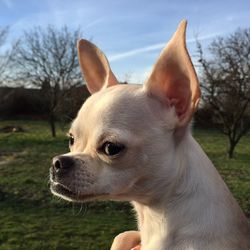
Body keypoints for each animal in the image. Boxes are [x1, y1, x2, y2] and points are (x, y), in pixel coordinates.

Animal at [49, 20, 250, 249]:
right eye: (71, 140)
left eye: (111, 148)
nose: (57, 162)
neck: (155, 218)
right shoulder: (130, 236)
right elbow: (124, 235)